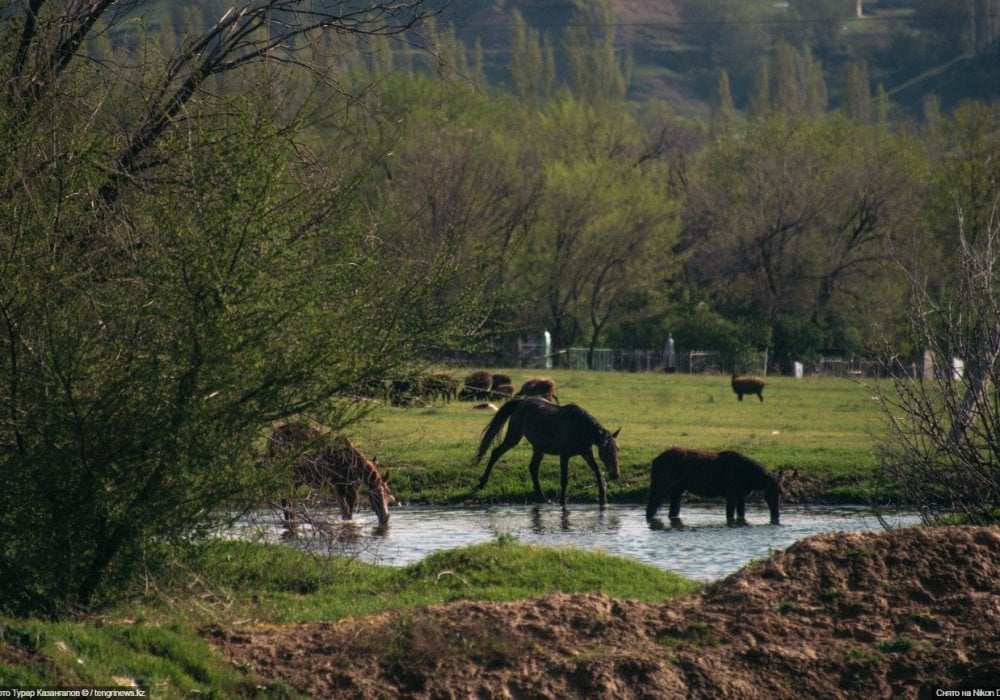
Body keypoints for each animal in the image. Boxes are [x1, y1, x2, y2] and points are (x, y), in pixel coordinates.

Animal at [470, 396, 616, 506]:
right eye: (606, 451)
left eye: (617, 450)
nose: (616, 474)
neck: (582, 428)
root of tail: (521, 401)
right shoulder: (564, 455)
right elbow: (564, 480)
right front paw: (562, 502)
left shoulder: (586, 453)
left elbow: (598, 472)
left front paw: (603, 499)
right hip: (514, 436)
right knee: (496, 453)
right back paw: (482, 483)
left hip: (538, 447)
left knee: (533, 468)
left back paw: (541, 496)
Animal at [648, 448, 788, 524]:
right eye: (771, 491)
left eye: (783, 492)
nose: (776, 515)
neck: (751, 479)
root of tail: (654, 461)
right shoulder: (731, 495)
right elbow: (730, 515)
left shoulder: (742, 496)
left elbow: (741, 515)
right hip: (662, 487)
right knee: (651, 508)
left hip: (677, 490)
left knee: (672, 512)